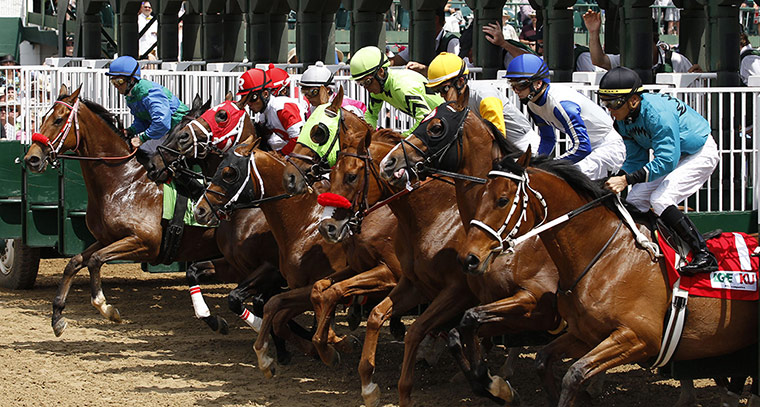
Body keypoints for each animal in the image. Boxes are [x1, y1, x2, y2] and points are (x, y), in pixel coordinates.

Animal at [23, 85, 224, 337]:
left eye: (58, 119)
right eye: (42, 118)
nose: (32, 158)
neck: (123, 181)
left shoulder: (145, 243)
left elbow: (95, 261)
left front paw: (106, 307)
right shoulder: (107, 239)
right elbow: (74, 262)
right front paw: (58, 316)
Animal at [193, 141, 398, 378]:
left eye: (229, 173)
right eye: (217, 168)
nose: (199, 210)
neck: (304, 225)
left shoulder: (280, 274)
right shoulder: (257, 273)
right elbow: (273, 313)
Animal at [457, 148, 758, 406]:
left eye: (502, 200)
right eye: (480, 195)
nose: (469, 258)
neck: (605, 255)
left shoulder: (639, 337)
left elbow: (574, 374)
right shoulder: (584, 334)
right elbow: (541, 360)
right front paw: (495, 384)